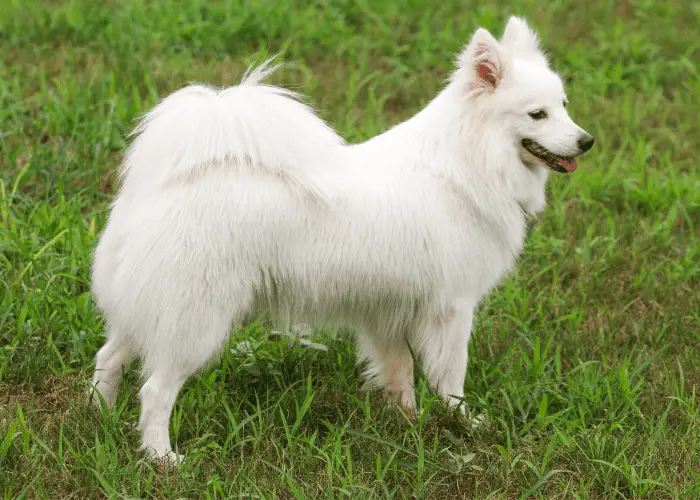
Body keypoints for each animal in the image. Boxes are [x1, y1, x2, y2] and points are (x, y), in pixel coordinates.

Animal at [90, 15, 596, 460]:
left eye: (565, 105)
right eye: (538, 114)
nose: (587, 141)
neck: (468, 162)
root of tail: (161, 187)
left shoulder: (387, 311)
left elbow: (400, 372)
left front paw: (408, 426)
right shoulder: (451, 309)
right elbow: (451, 379)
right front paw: (465, 424)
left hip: (150, 310)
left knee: (109, 356)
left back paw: (100, 417)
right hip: (196, 321)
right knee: (155, 390)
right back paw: (161, 457)